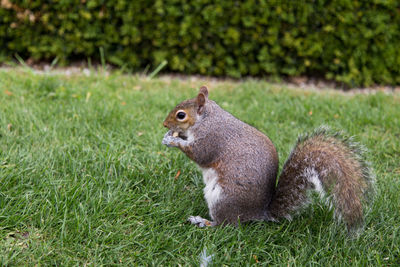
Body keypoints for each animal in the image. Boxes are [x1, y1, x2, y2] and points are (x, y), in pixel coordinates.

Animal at [162, 86, 376, 234]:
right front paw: (169, 135)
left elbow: (199, 154)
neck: (206, 119)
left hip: (222, 198)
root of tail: (259, 213)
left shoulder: (211, 139)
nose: (164, 124)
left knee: (226, 225)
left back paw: (203, 222)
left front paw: (172, 140)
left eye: (181, 115)